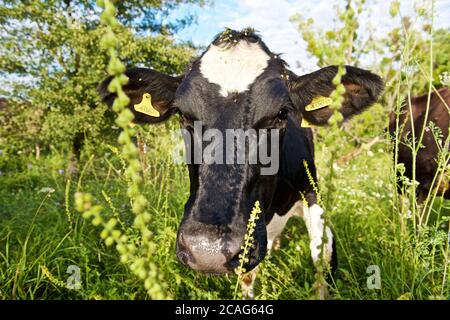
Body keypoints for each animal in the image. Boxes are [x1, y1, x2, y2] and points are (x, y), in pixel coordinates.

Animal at [98, 28, 384, 298]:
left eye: (282, 114)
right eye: (183, 115)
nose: (208, 250)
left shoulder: (311, 189)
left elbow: (322, 254)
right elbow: (248, 277)